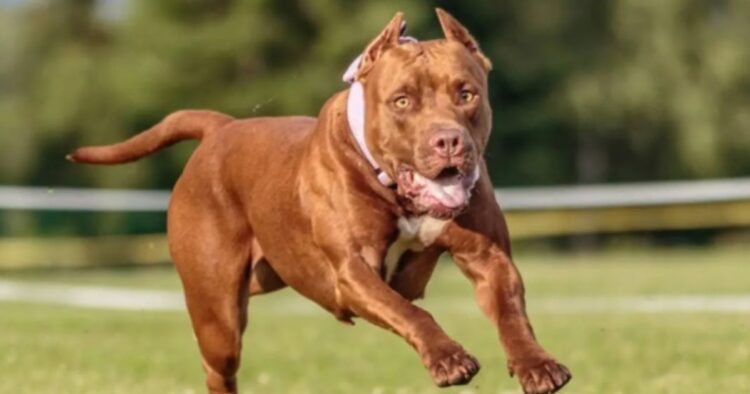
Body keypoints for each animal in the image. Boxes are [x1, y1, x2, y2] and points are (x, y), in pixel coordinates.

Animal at [72, 9, 576, 394]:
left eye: (466, 93)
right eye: (402, 101)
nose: (448, 141)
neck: (394, 187)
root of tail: (221, 128)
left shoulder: (488, 257)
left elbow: (511, 314)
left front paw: (536, 364)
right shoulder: (354, 271)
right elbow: (410, 310)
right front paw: (448, 357)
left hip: (266, 275)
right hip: (217, 312)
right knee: (218, 365)